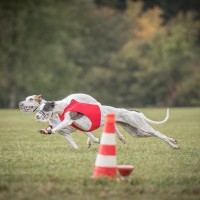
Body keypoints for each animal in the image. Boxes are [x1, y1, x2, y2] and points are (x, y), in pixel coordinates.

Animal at [36, 97, 180, 149]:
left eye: (44, 108)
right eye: (39, 108)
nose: (37, 116)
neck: (64, 106)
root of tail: (133, 111)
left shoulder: (69, 119)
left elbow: (59, 126)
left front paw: (49, 131)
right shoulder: (78, 126)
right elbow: (88, 134)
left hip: (140, 125)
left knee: (156, 132)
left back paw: (173, 146)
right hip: (136, 132)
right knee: (155, 133)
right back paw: (173, 141)